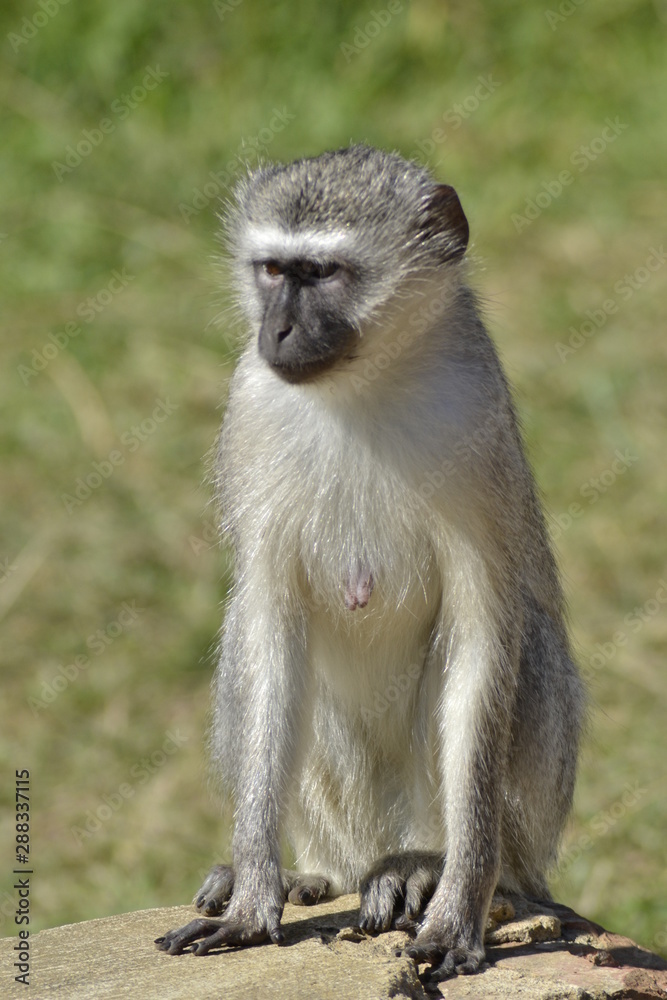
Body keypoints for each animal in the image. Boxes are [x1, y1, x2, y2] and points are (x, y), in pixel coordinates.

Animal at [157, 145, 584, 980]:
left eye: (323, 273)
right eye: (271, 269)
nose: (278, 329)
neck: (364, 381)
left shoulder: (473, 418)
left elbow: (483, 635)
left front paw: (459, 905)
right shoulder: (250, 405)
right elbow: (268, 628)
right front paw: (254, 891)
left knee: (515, 650)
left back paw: (437, 867)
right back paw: (313, 871)